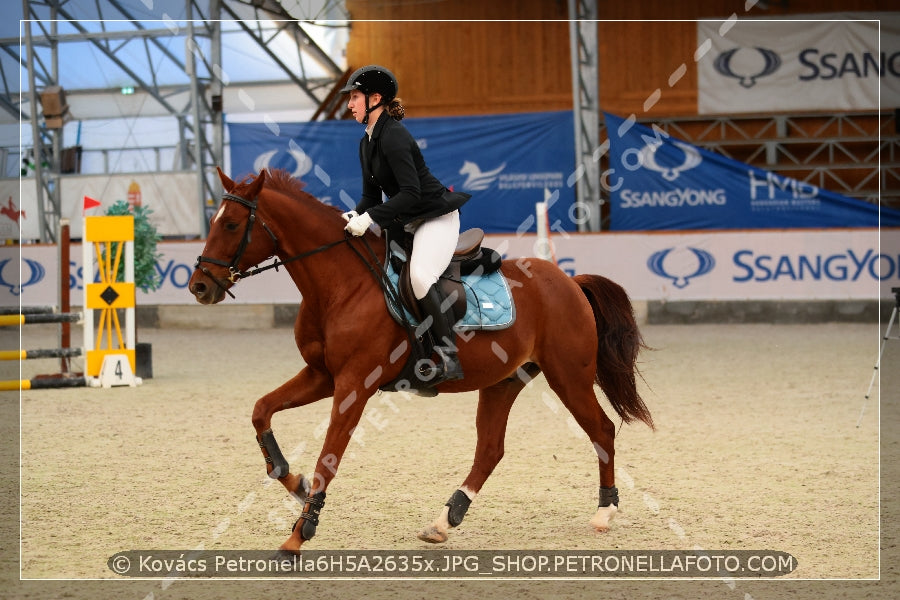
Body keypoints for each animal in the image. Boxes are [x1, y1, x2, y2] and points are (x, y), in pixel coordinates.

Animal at [190, 168, 652, 552]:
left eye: (231, 225)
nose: (199, 286)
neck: (339, 285)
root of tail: (570, 281)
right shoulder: (322, 376)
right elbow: (261, 411)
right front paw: (292, 480)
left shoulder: (354, 385)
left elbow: (328, 459)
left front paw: (299, 534)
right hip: (504, 381)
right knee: (491, 449)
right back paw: (445, 520)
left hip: (568, 376)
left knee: (601, 430)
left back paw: (605, 512)